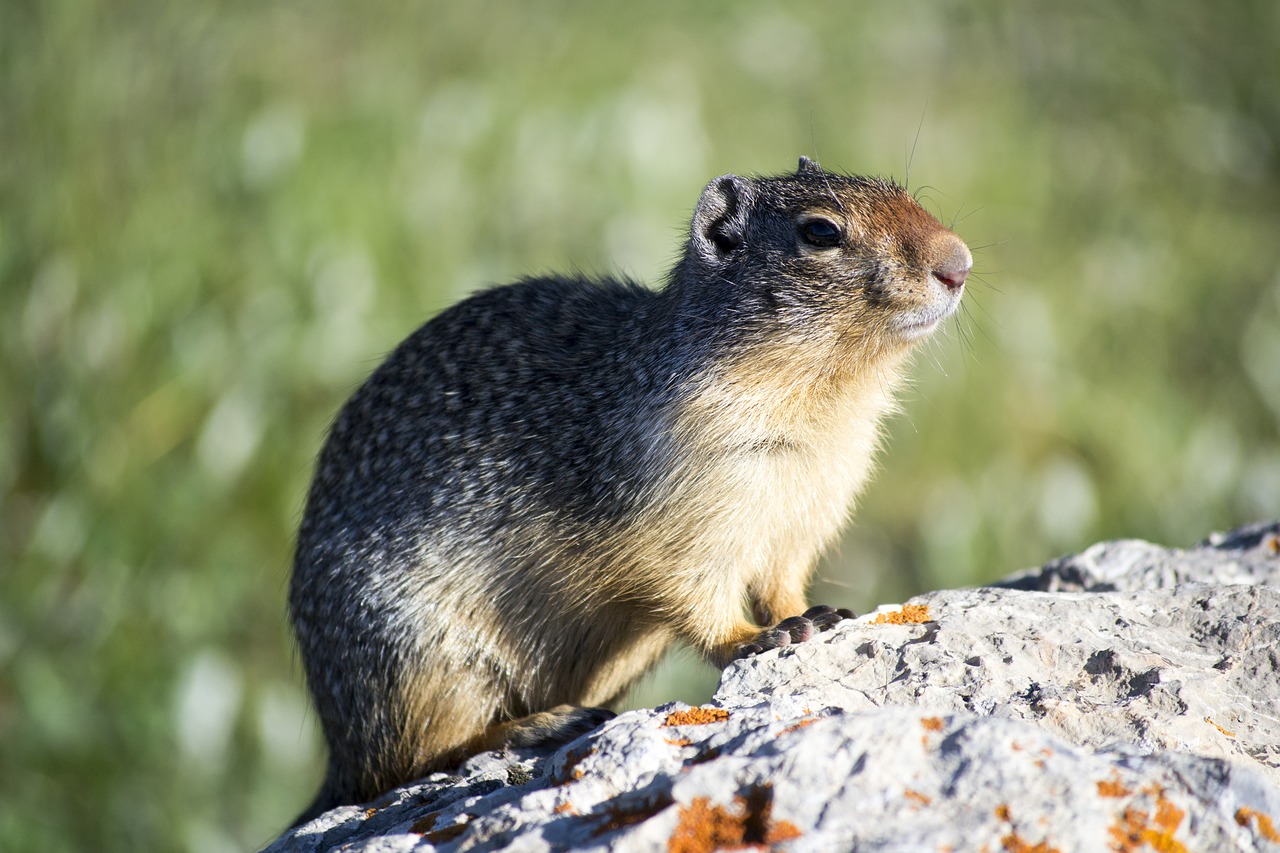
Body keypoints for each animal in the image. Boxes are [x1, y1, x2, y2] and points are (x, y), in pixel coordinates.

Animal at [290, 156, 967, 819]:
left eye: (900, 189)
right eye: (821, 231)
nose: (958, 263)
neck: (822, 403)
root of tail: (337, 756)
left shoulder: (802, 518)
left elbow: (780, 582)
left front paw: (815, 614)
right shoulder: (670, 523)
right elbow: (696, 598)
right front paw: (758, 637)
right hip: (420, 659)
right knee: (405, 761)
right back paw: (538, 724)